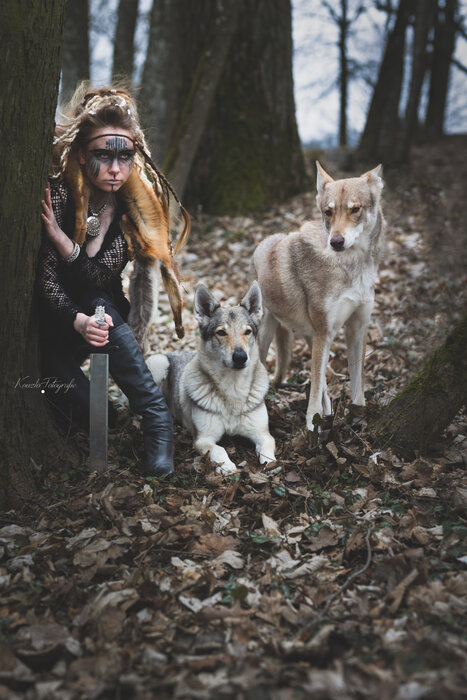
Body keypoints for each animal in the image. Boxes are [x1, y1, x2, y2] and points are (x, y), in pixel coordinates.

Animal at [147, 282, 276, 474]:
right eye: (221, 333)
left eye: (247, 332)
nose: (240, 357)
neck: (233, 388)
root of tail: (173, 351)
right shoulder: (203, 439)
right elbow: (219, 449)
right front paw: (226, 466)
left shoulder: (263, 434)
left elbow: (268, 448)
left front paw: (270, 464)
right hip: (158, 362)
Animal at [252, 161, 386, 430]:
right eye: (328, 212)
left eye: (355, 209)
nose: (336, 241)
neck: (351, 267)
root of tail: (267, 240)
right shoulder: (324, 332)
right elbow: (314, 389)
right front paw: (312, 426)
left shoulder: (355, 329)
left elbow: (357, 384)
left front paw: (358, 415)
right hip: (267, 338)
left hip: (312, 336)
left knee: (322, 375)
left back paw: (328, 411)